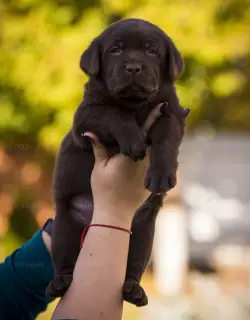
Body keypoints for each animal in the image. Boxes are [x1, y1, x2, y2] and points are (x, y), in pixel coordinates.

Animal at [46, 18, 188, 308]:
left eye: (152, 51)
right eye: (115, 51)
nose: (133, 67)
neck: (135, 104)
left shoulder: (171, 112)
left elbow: (166, 138)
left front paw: (161, 175)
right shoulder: (85, 117)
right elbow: (114, 113)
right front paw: (133, 138)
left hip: (143, 234)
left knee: (133, 267)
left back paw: (134, 290)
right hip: (66, 225)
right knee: (65, 260)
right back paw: (59, 283)